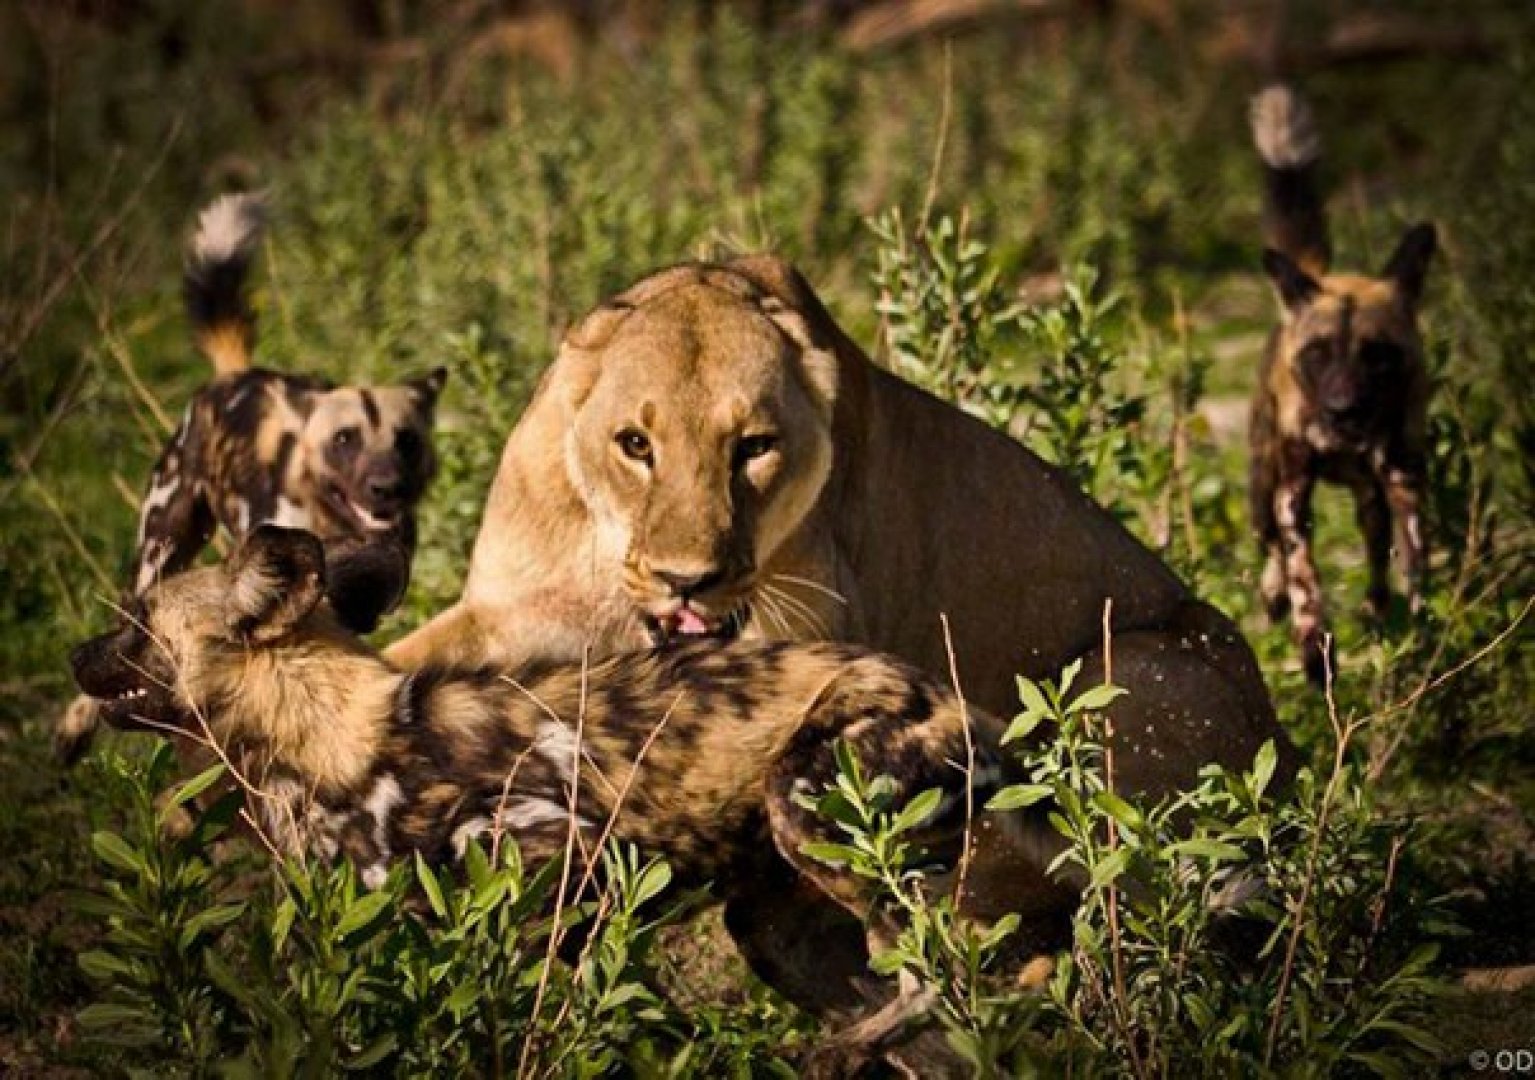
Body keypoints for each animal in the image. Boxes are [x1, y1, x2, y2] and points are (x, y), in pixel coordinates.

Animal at [54, 196, 448, 767]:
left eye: (406, 441)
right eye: (345, 440)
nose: (386, 487)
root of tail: (234, 374)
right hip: (159, 551)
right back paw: (75, 729)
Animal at [69, 521, 1295, 1073]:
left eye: (134, 625)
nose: (72, 657)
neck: (320, 736)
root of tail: (954, 700)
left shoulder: (568, 872)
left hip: (819, 815)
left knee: (958, 969)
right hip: (780, 922)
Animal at [1252, 84, 1430, 678]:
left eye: (1377, 355)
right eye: (1318, 353)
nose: (1342, 409)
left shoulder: (1403, 477)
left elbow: (1415, 560)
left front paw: (1423, 630)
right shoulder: (1292, 491)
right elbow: (1304, 572)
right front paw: (1313, 649)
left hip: (1369, 493)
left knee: (1375, 543)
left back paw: (1377, 609)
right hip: (1263, 480)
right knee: (1270, 545)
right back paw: (1274, 597)